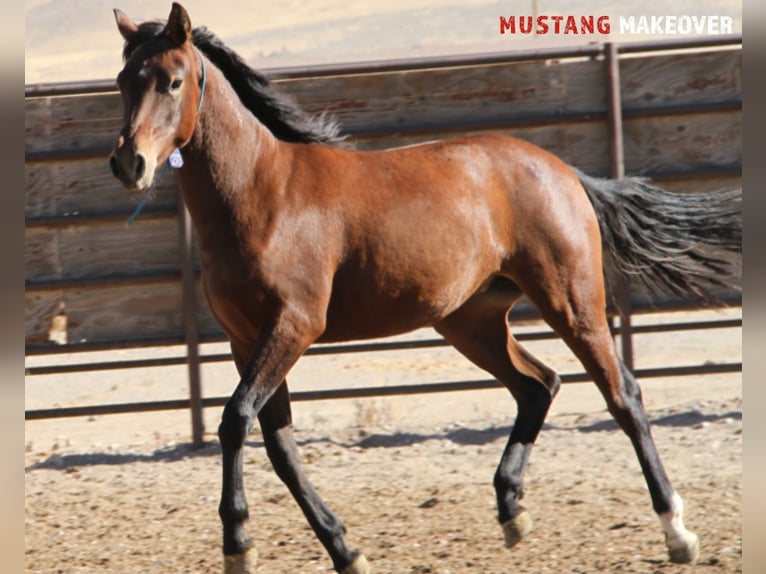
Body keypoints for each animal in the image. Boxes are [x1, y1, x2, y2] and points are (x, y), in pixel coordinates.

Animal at [109, 3, 744, 572]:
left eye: (172, 81)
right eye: (122, 80)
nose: (129, 164)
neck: (261, 192)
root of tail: (564, 172)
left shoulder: (293, 325)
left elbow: (236, 420)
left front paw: (239, 545)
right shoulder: (247, 339)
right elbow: (280, 445)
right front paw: (345, 550)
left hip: (571, 302)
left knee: (623, 395)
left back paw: (677, 532)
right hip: (470, 321)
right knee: (538, 384)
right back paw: (511, 510)